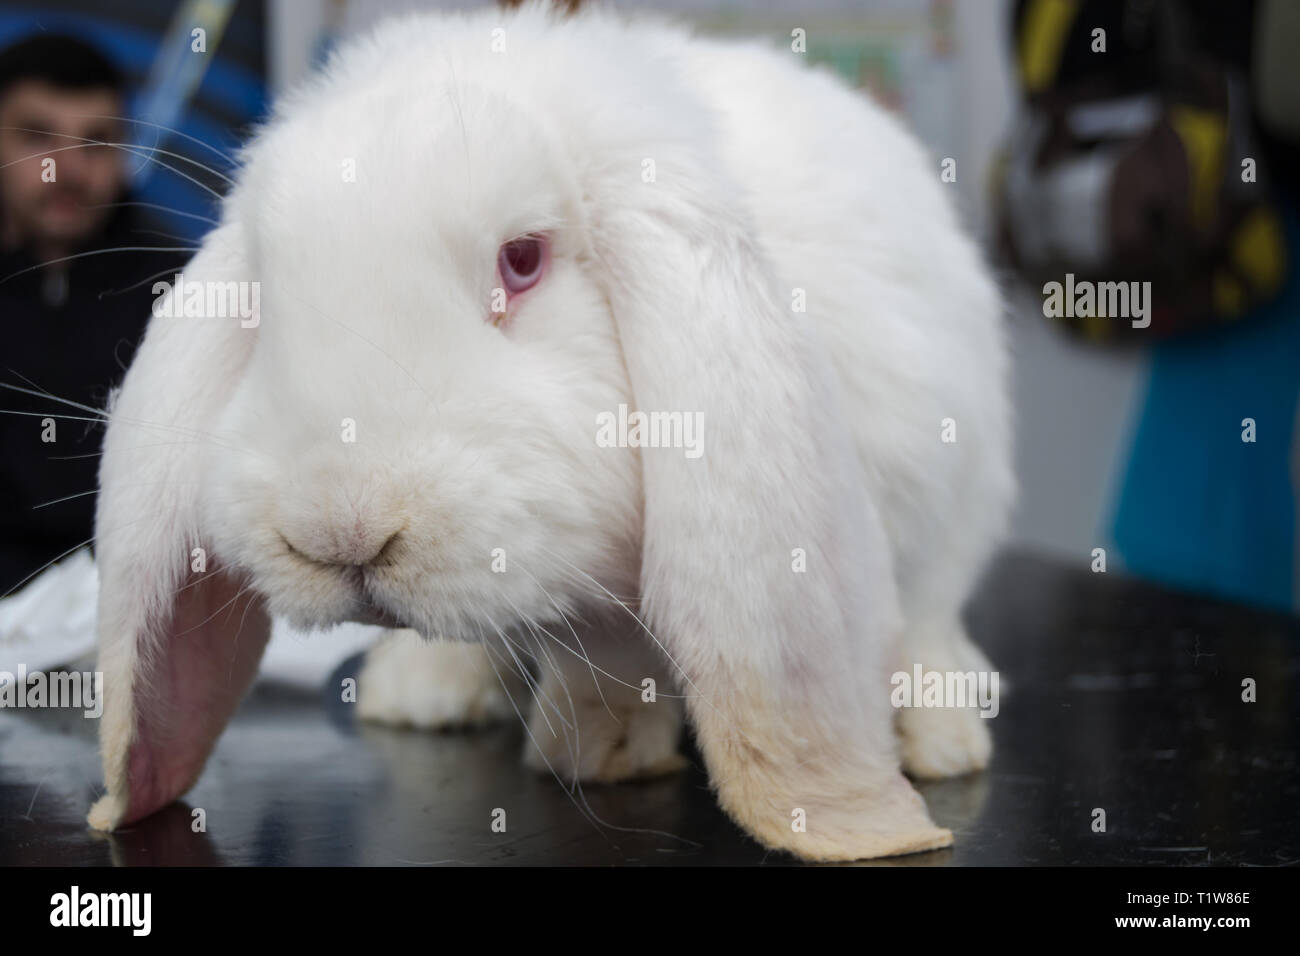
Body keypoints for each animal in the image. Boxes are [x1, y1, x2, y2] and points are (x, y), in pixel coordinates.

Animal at [86, 0, 1014, 862]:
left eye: (523, 258)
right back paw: (423, 694)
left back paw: (944, 739)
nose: (339, 529)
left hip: (957, 505)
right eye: (262, 289)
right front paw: (595, 746)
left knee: (929, 618)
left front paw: (591, 750)